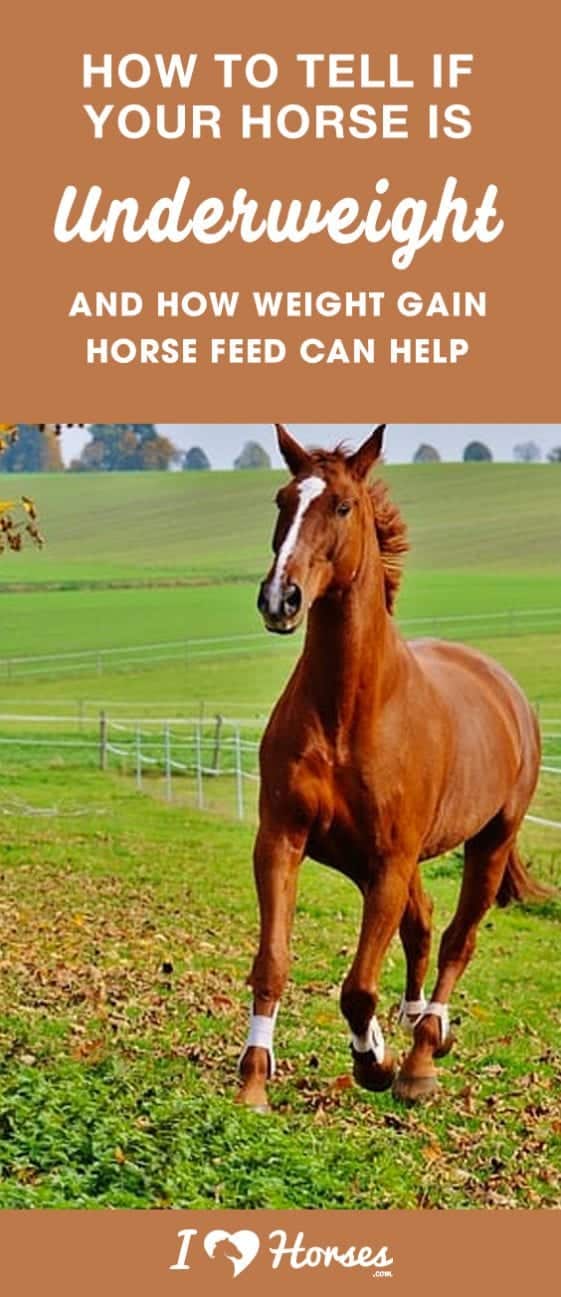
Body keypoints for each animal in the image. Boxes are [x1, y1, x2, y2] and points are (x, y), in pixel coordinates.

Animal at [237, 424, 546, 1110]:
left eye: (343, 506)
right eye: (282, 500)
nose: (279, 599)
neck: (349, 712)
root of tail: (507, 690)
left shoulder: (389, 861)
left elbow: (357, 986)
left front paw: (374, 1062)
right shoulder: (283, 840)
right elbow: (273, 962)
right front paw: (252, 1082)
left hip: (487, 843)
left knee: (457, 939)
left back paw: (423, 1055)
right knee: (423, 926)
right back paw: (415, 1026)